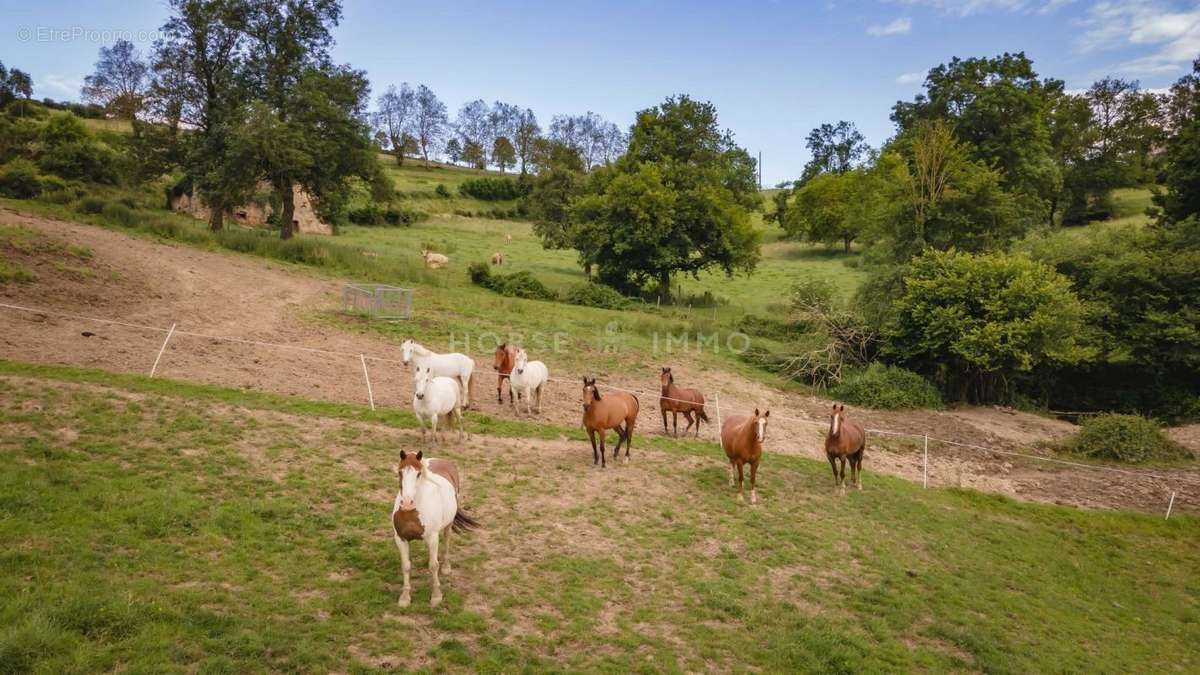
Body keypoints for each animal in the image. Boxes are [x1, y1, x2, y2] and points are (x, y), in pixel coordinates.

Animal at [386, 449, 475, 607]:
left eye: (418, 474)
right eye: (400, 472)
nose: (407, 503)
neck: (412, 513)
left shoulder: (433, 538)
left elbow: (433, 565)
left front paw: (436, 596)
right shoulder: (401, 539)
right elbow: (406, 566)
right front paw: (405, 597)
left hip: (448, 525)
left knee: (447, 542)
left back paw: (446, 568)